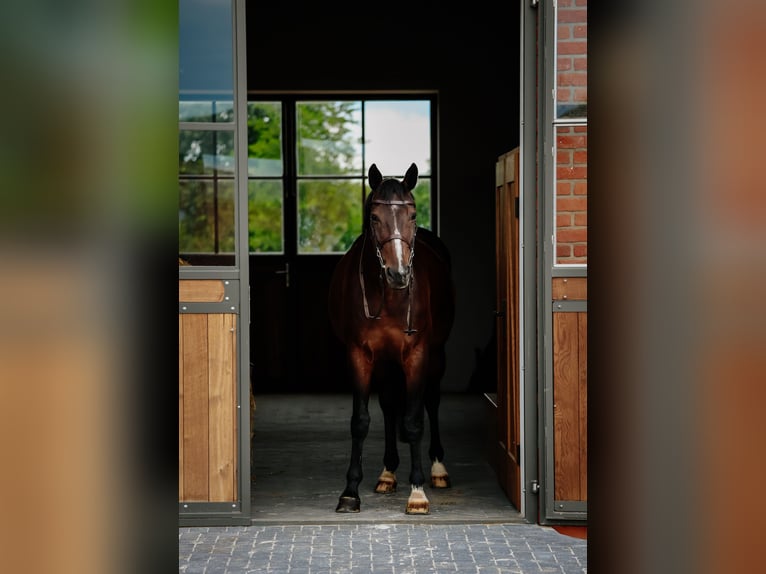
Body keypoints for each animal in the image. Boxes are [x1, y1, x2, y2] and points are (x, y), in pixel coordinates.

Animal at [328, 162, 456, 514]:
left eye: (412, 214)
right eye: (374, 217)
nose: (398, 274)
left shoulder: (417, 354)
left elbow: (413, 421)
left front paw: (418, 492)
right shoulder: (360, 355)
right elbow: (361, 420)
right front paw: (350, 492)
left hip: (437, 355)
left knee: (432, 401)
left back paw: (438, 468)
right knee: (387, 406)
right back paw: (387, 472)